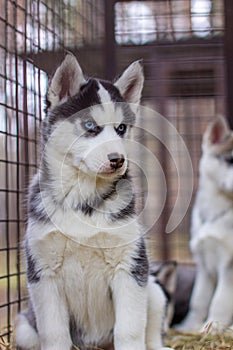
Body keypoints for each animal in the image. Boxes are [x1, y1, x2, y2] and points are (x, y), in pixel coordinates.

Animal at [177, 116, 233, 332]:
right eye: (229, 160)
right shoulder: (203, 264)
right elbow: (199, 299)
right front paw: (189, 326)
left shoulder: (229, 265)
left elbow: (220, 301)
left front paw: (213, 326)